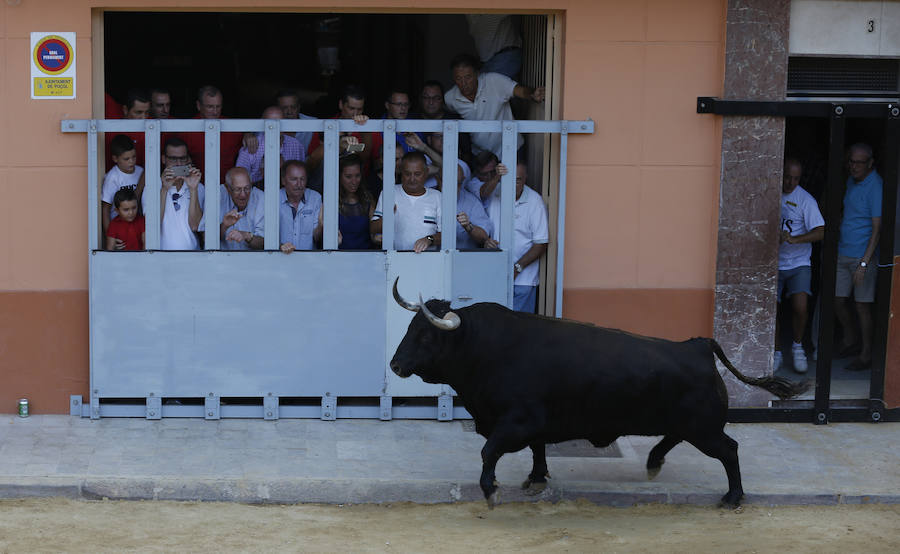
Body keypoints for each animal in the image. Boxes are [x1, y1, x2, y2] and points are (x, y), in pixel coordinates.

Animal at [390, 278, 812, 506]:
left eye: (425, 334)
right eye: (409, 327)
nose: (394, 366)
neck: (482, 347)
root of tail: (697, 345)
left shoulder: (515, 421)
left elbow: (489, 452)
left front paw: (491, 490)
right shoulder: (532, 423)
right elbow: (538, 449)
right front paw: (536, 478)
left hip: (704, 428)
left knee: (729, 450)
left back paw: (733, 497)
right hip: (691, 424)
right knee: (676, 439)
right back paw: (653, 462)